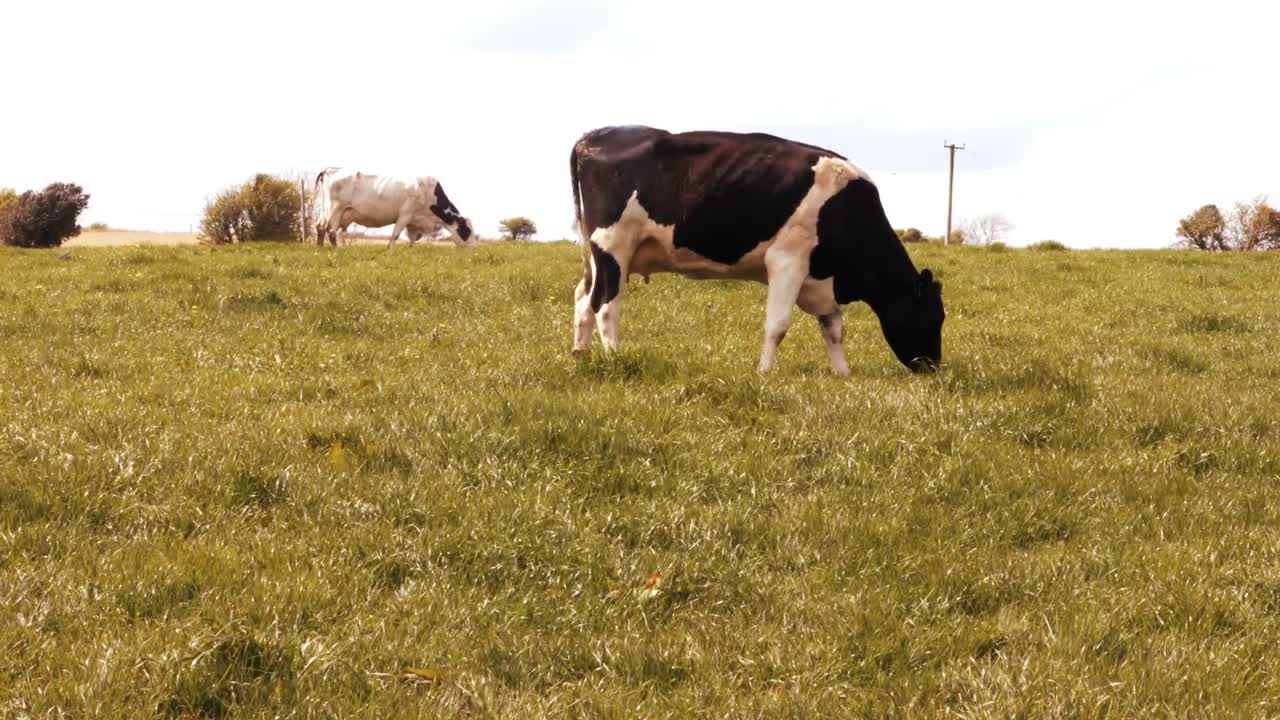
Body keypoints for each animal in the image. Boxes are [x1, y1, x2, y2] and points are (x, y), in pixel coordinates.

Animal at [315, 168, 475, 248]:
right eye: (468, 231)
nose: (474, 249)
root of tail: (328, 170)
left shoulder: (413, 222)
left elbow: (412, 240)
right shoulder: (405, 214)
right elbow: (395, 236)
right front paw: (390, 251)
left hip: (326, 211)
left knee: (320, 227)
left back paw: (320, 249)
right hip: (336, 210)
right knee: (331, 231)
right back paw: (337, 250)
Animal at [569, 125, 945, 375]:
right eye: (934, 316)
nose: (933, 367)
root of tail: (594, 136)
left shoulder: (820, 279)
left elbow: (833, 327)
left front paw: (842, 374)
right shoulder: (788, 261)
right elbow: (777, 324)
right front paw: (764, 373)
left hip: (598, 255)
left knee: (583, 298)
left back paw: (580, 354)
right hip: (613, 244)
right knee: (605, 305)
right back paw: (615, 358)